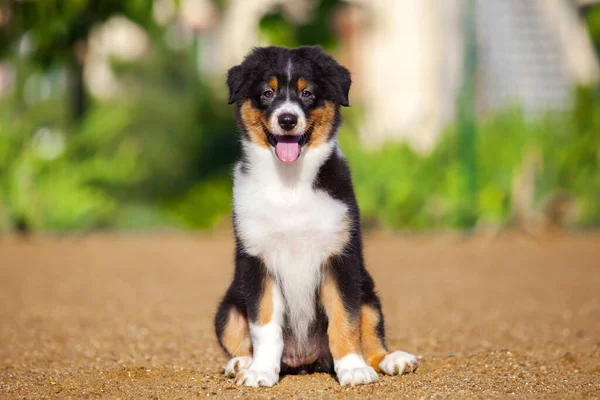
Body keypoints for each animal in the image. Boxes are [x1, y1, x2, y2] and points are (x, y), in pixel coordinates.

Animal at [216, 45, 418, 386]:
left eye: (307, 93)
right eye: (267, 93)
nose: (287, 119)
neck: (290, 183)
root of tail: (304, 361)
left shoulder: (339, 258)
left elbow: (344, 320)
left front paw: (352, 368)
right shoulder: (257, 260)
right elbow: (264, 325)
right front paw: (260, 371)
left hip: (368, 291)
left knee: (371, 332)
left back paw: (393, 360)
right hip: (228, 307)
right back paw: (241, 364)